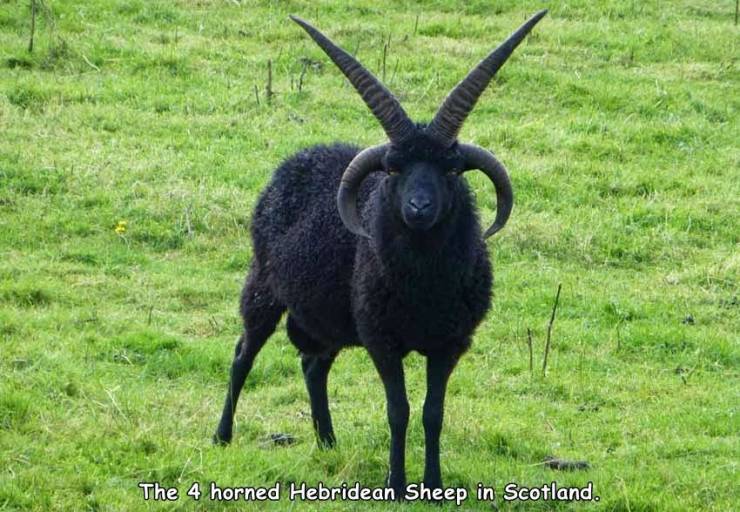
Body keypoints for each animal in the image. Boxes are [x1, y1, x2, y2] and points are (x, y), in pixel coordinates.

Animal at [211, 9, 548, 496]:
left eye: (451, 169)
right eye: (393, 169)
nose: (419, 207)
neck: (425, 287)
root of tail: (299, 158)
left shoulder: (450, 344)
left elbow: (432, 414)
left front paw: (433, 486)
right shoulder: (381, 340)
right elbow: (399, 412)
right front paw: (396, 484)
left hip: (329, 315)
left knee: (313, 365)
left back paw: (328, 442)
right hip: (263, 288)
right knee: (243, 355)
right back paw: (222, 436)